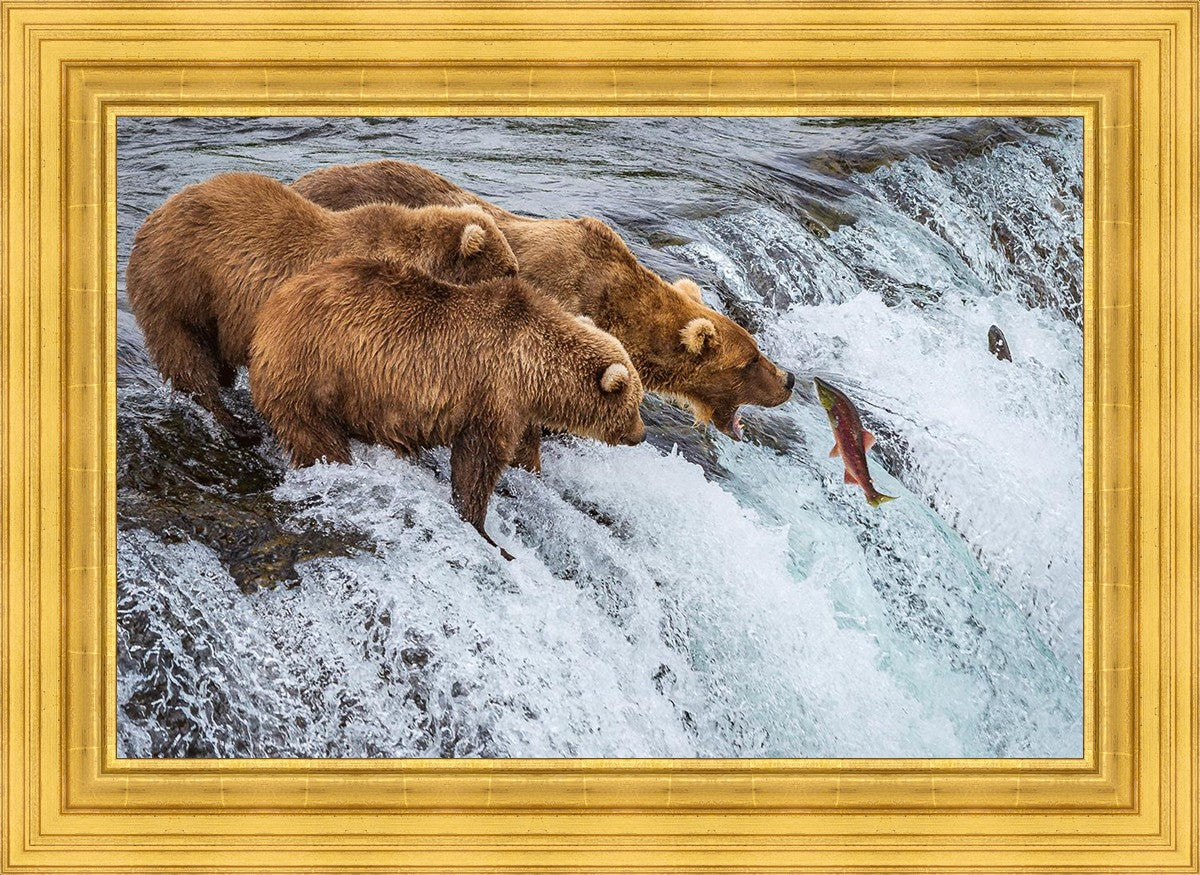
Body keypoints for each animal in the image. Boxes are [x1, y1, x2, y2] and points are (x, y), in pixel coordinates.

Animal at [125, 171, 519, 445]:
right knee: (186, 356)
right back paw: (236, 424)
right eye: (509, 269)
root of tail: (153, 217)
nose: (520, 283)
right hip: (180, 285)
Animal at [248, 256, 646, 559]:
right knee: (315, 436)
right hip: (313, 373)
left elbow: (522, 450)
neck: (533, 368)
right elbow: (478, 462)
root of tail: (270, 310)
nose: (641, 435)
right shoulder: (492, 393)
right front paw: (484, 530)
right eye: (635, 403)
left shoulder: (518, 408)